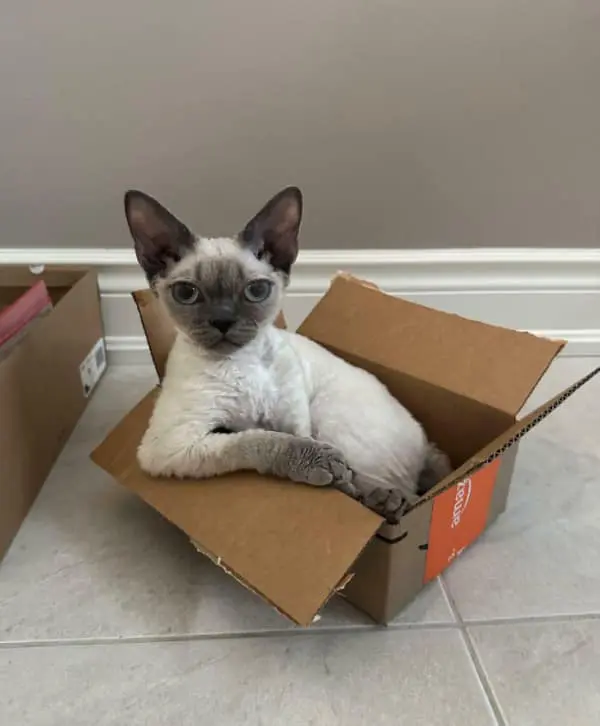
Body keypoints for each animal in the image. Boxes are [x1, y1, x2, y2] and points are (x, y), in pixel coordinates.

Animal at [124, 186, 451, 522]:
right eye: (187, 294)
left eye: (256, 291)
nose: (223, 321)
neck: (244, 361)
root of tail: (426, 440)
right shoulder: (171, 445)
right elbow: (258, 440)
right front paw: (323, 465)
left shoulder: (294, 417)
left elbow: (293, 439)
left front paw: (332, 471)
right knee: (397, 494)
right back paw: (381, 499)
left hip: (327, 413)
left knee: (398, 491)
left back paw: (384, 499)